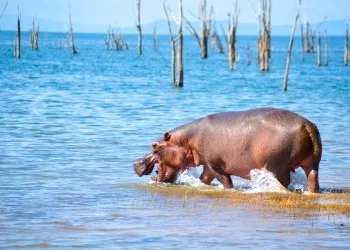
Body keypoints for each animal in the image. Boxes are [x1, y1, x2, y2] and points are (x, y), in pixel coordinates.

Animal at [134, 108, 322, 193]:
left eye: (155, 145)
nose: (136, 162)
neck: (188, 140)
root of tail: (307, 125)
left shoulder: (215, 164)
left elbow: (225, 180)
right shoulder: (207, 164)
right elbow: (204, 179)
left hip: (277, 167)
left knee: (282, 184)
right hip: (312, 164)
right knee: (313, 179)